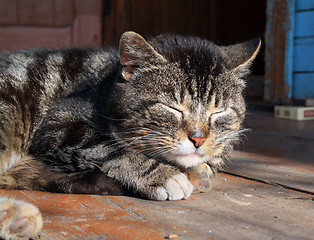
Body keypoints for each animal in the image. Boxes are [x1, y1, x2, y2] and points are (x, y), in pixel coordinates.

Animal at [0, 31, 260, 238]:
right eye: (173, 108)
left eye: (219, 111)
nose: (198, 139)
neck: (105, 87)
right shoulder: (61, 123)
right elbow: (113, 148)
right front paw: (164, 175)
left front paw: (199, 168)